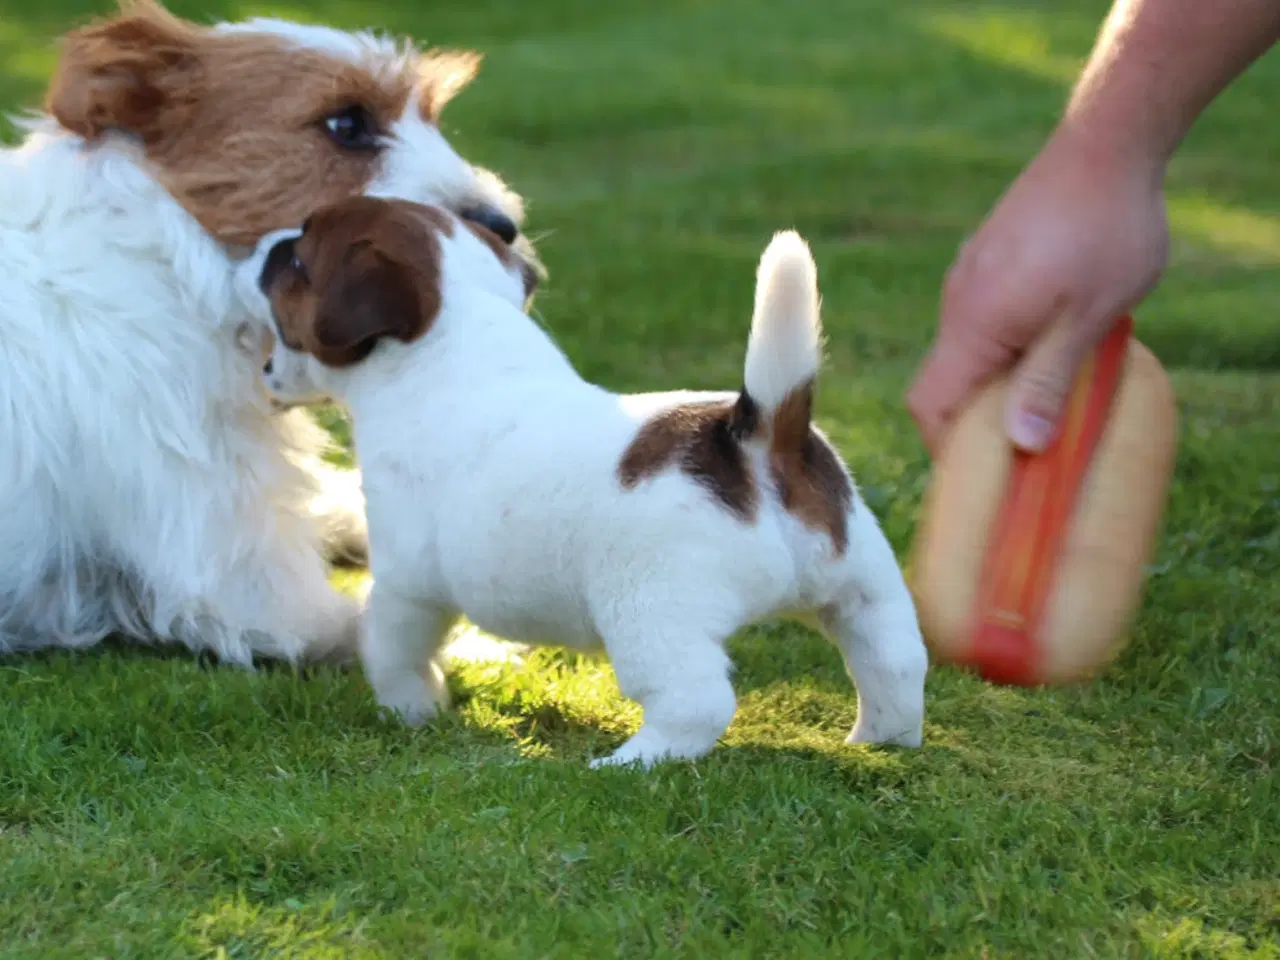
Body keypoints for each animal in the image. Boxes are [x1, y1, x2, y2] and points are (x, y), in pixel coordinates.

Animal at [0, 0, 537, 665]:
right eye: (346, 123)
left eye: (432, 118)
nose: (504, 225)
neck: (169, 257)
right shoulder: (245, 586)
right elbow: (391, 632)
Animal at [240, 199, 926, 773]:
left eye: (297, 260)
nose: (264, 244)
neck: (451, 335)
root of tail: (754, 438)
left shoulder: (410, 585)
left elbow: (392, 648)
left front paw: (410, 712)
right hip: (861, 589)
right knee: (893, 663)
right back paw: (881, 741)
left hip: (652, 614)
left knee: (696, 701)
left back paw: (627, 764)